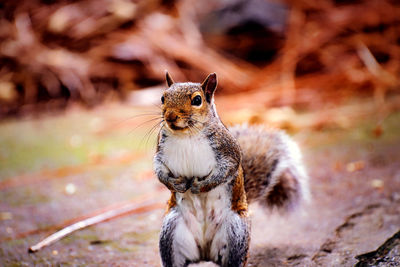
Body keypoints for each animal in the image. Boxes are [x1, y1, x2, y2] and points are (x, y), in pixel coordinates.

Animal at [153, 72, 310, 267]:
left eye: (197, 100)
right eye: (162, 97)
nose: (170, 116)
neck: (186, 135)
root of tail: (205, 253)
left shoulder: (229, 153)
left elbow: (225, 172)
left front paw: (200, 186)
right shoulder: (160, 154)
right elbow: (159, 172)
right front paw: (176, 184)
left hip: (236, 231)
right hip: (171, 230)